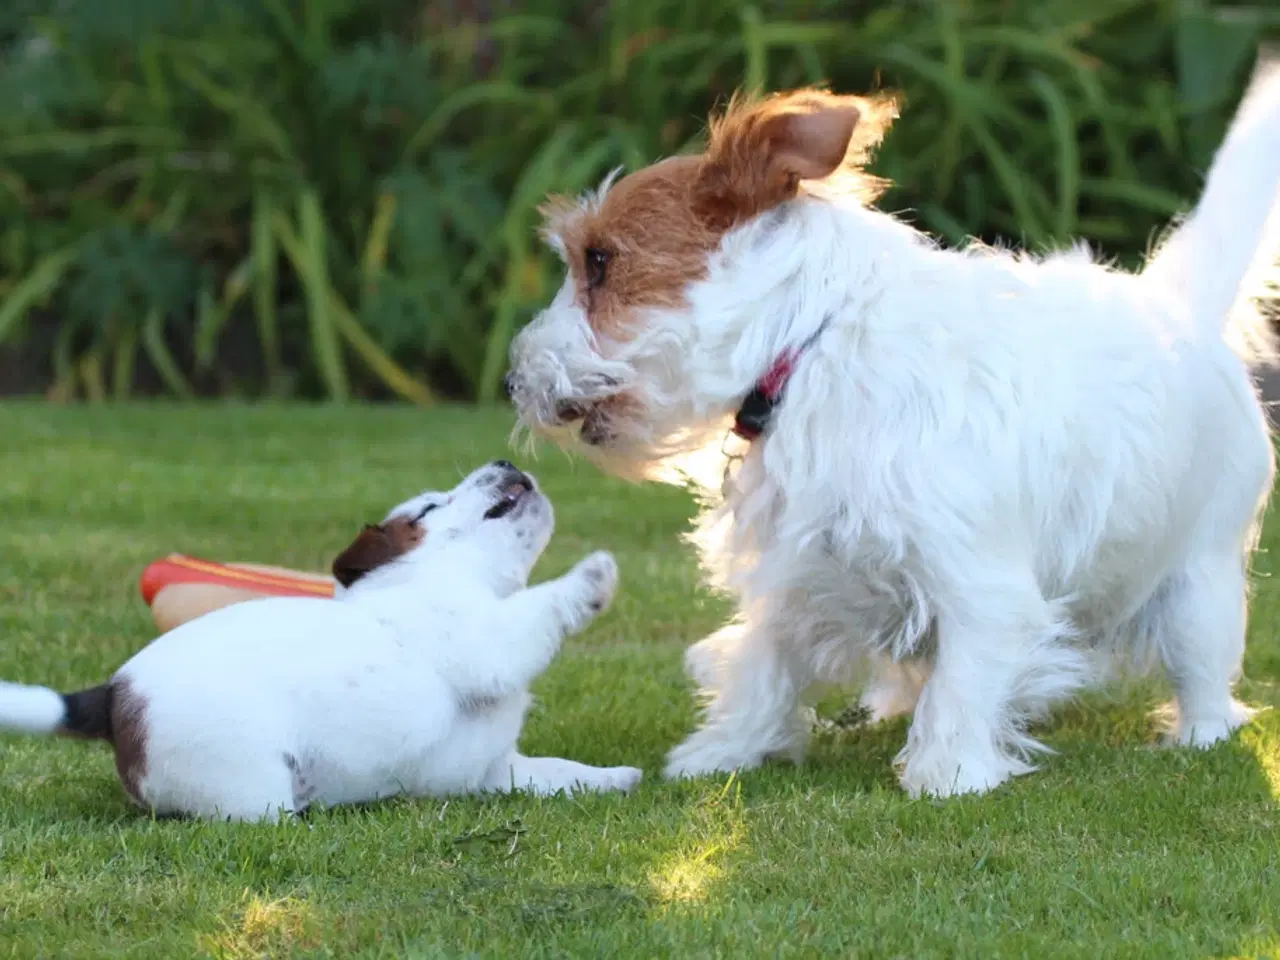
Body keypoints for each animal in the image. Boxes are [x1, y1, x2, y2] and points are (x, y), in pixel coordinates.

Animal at [0, 463, 640, 824]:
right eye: (430, 507)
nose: (506, 459)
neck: (440, 576)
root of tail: (112, 696)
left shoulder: (495, 770)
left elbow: (560, 772)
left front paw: (613, 777)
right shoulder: (484, 641)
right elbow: (540, 610)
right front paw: (593, 576)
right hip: (246, 782)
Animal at [501, 58, 1280, 798]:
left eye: (600, 261)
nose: (511, 381)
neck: (811, 346)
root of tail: (1176, 308)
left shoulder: (980, 582)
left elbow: (965, 681)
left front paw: (949, 774)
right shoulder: (794, 565)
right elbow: (763, 664)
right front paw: (722, 752)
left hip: (1203, 580)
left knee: (1204, 669)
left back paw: (1197, 734)